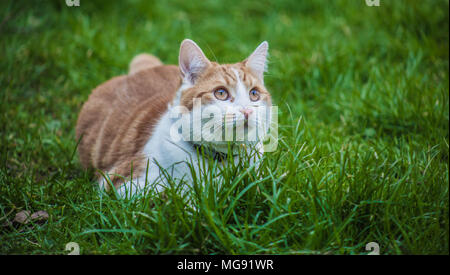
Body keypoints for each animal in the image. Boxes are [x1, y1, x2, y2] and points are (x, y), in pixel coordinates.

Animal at [75, 39, 272, 198]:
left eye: (254, 94)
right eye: (221, 93)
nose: (247, 111)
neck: (220, 159)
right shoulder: (121, 183)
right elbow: (175, 197)